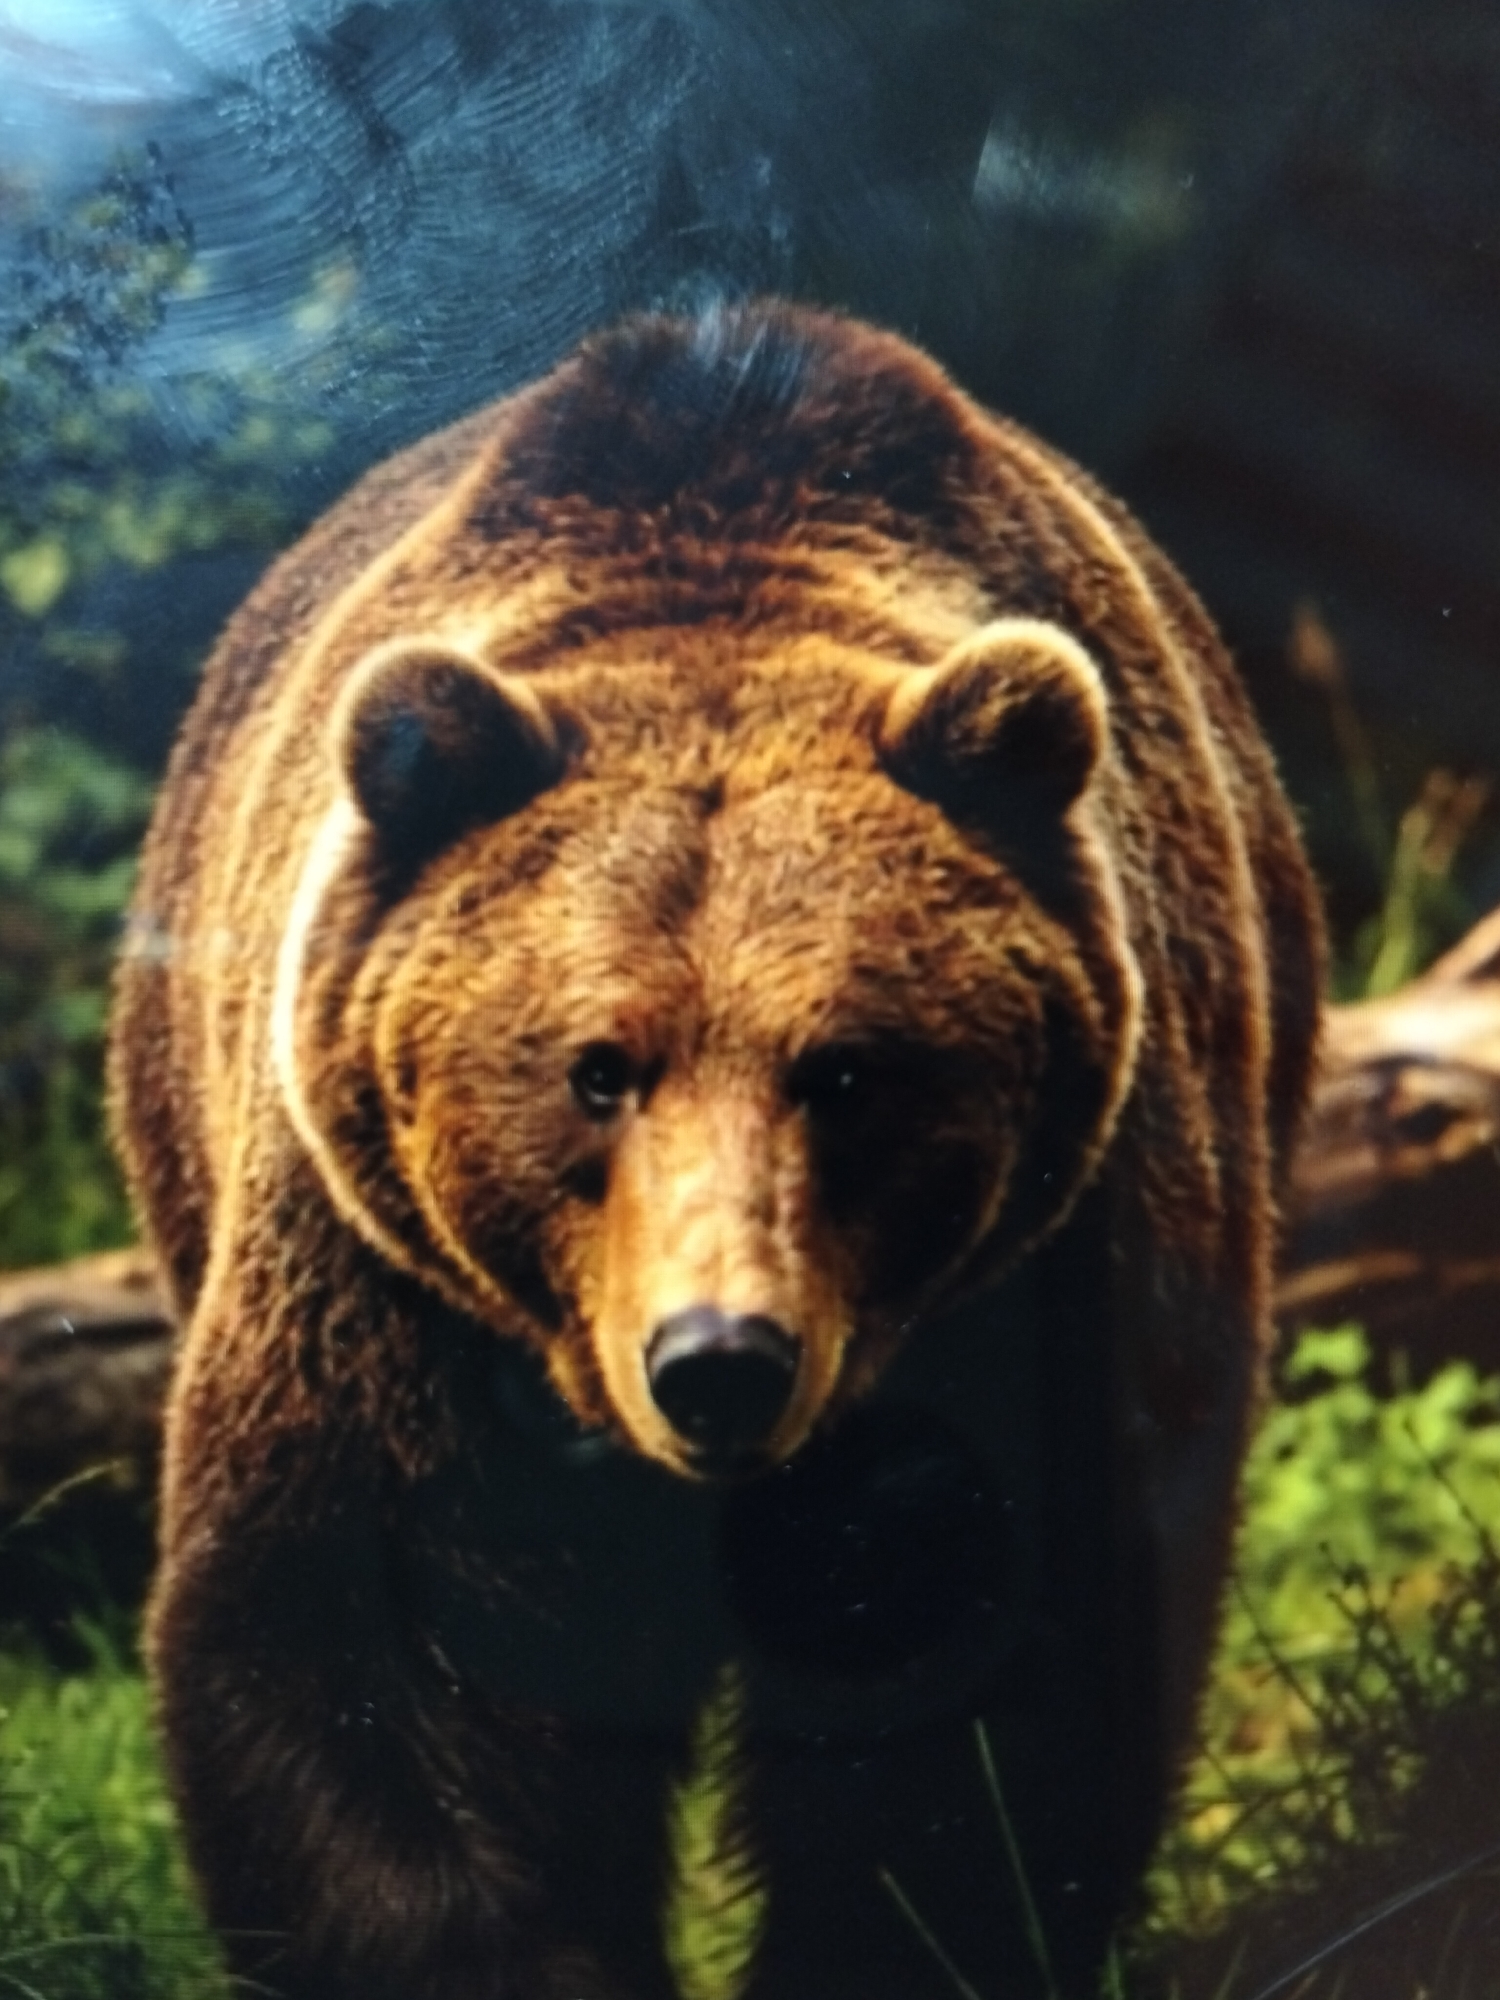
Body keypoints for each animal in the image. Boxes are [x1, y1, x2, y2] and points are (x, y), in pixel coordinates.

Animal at [111, 300, 1323, 2000]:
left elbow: (984, 1693)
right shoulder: (389, 1299)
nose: (719, 1359)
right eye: (595, 1070)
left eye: (849, 1069)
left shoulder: (1048, 1275)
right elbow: (381, 1667)